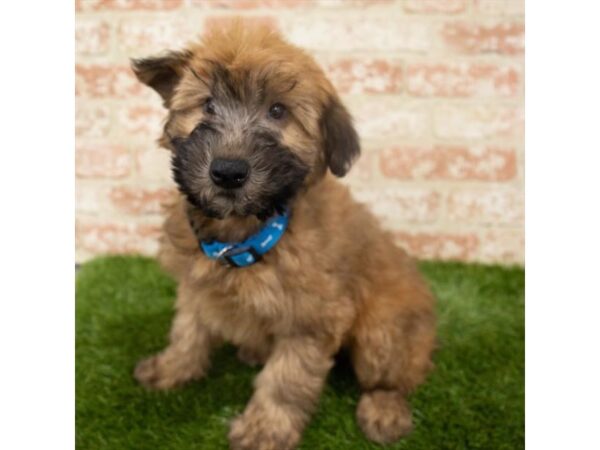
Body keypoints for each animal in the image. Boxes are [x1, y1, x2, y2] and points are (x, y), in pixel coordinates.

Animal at [131, 22, 436, 448]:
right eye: (207, 105)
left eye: (278, 111)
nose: (228, 171)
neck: (245, 232)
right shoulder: (196, 287)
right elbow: (187, 332)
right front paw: (171, 368)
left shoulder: (310, 318)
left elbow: (285, 379)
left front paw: (265, 428)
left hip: (385, 331)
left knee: (391, 376)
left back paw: (384, 409)